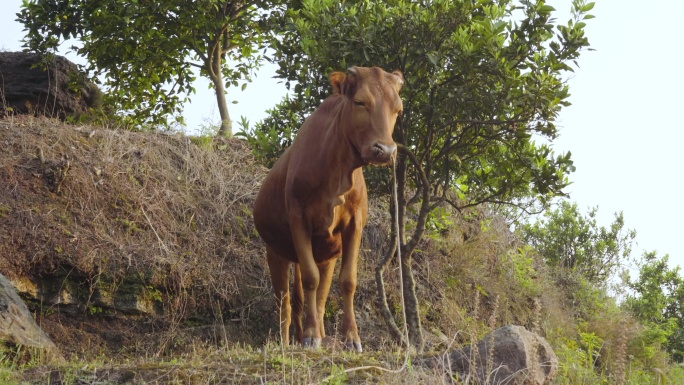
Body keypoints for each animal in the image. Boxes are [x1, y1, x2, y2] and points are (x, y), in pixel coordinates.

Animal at [252, 67, 404, 352]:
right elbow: (310, 279)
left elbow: (348, 280)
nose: (385, 150)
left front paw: (352, 338)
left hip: (327, 255)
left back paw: (320, 334)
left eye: (397, 109)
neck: (338, 170)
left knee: (318, 297)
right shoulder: (298, 219)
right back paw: (286, 342)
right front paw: (310, 336)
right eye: (360, 102)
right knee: (284, 301)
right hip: (275, 250)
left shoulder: (355, 224)